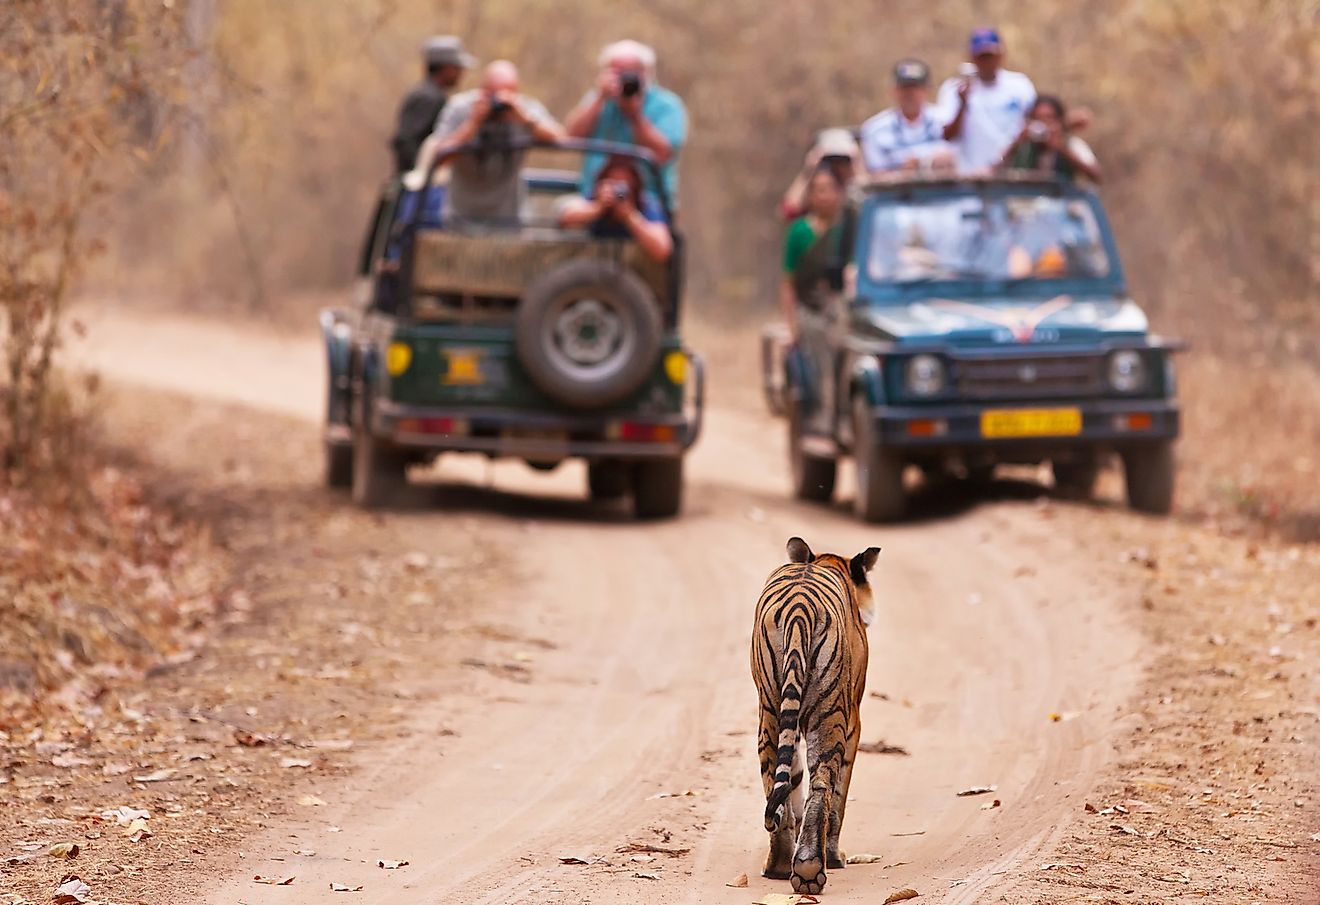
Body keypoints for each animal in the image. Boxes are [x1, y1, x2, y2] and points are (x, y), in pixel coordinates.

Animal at [755, 535, 876, 897]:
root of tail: (798, 609)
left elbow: (791, 782)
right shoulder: (853, 722)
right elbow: (839, 795)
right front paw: (835, 856)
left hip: (770, 711)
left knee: (774, 781)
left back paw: (781, 865)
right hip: (830, 713)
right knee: (823, 785)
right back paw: (810, 867)